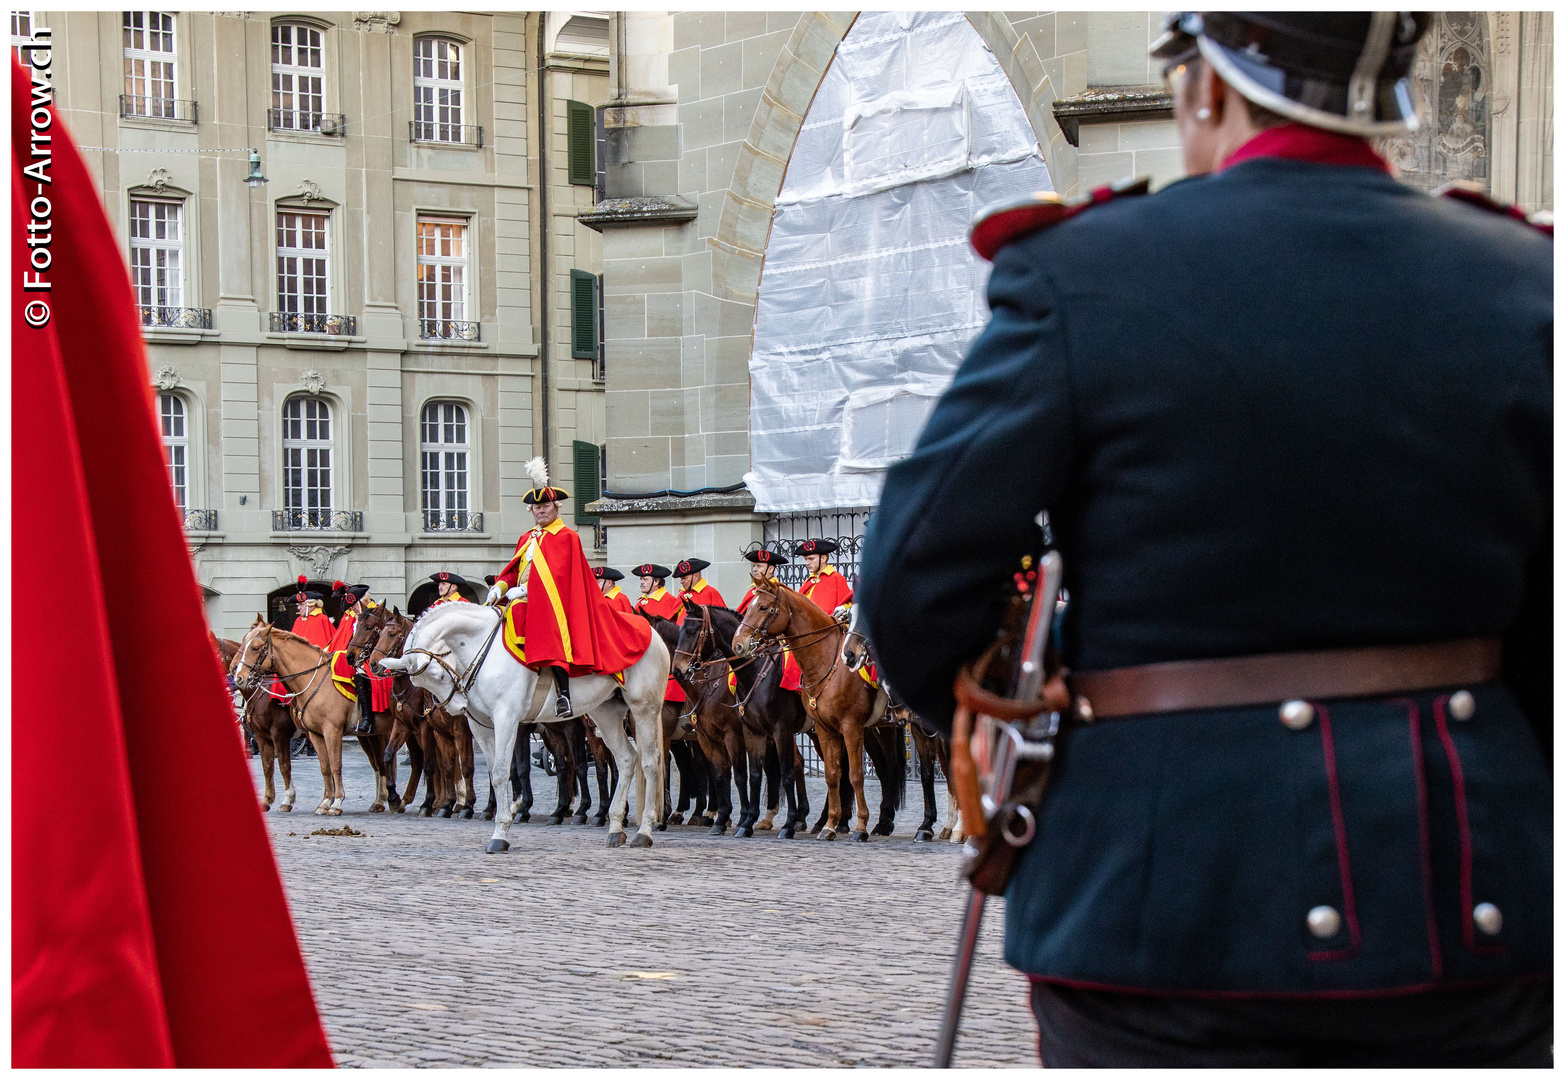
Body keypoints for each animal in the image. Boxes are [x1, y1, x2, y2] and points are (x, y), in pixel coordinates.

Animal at [384, 601, 672, 845]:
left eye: (438, 674)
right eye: (421, 682)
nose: (457, 707)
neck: (484, 649)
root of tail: (650, 631)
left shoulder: (507, 718)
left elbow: (503, 771)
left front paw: (500, 833)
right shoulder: (482, 727)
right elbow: (495, 772)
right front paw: (507, 816)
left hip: (643, 708)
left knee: (650, 762)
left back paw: (644, 831)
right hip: (605, 713)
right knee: (626, 759)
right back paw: (615, 828)